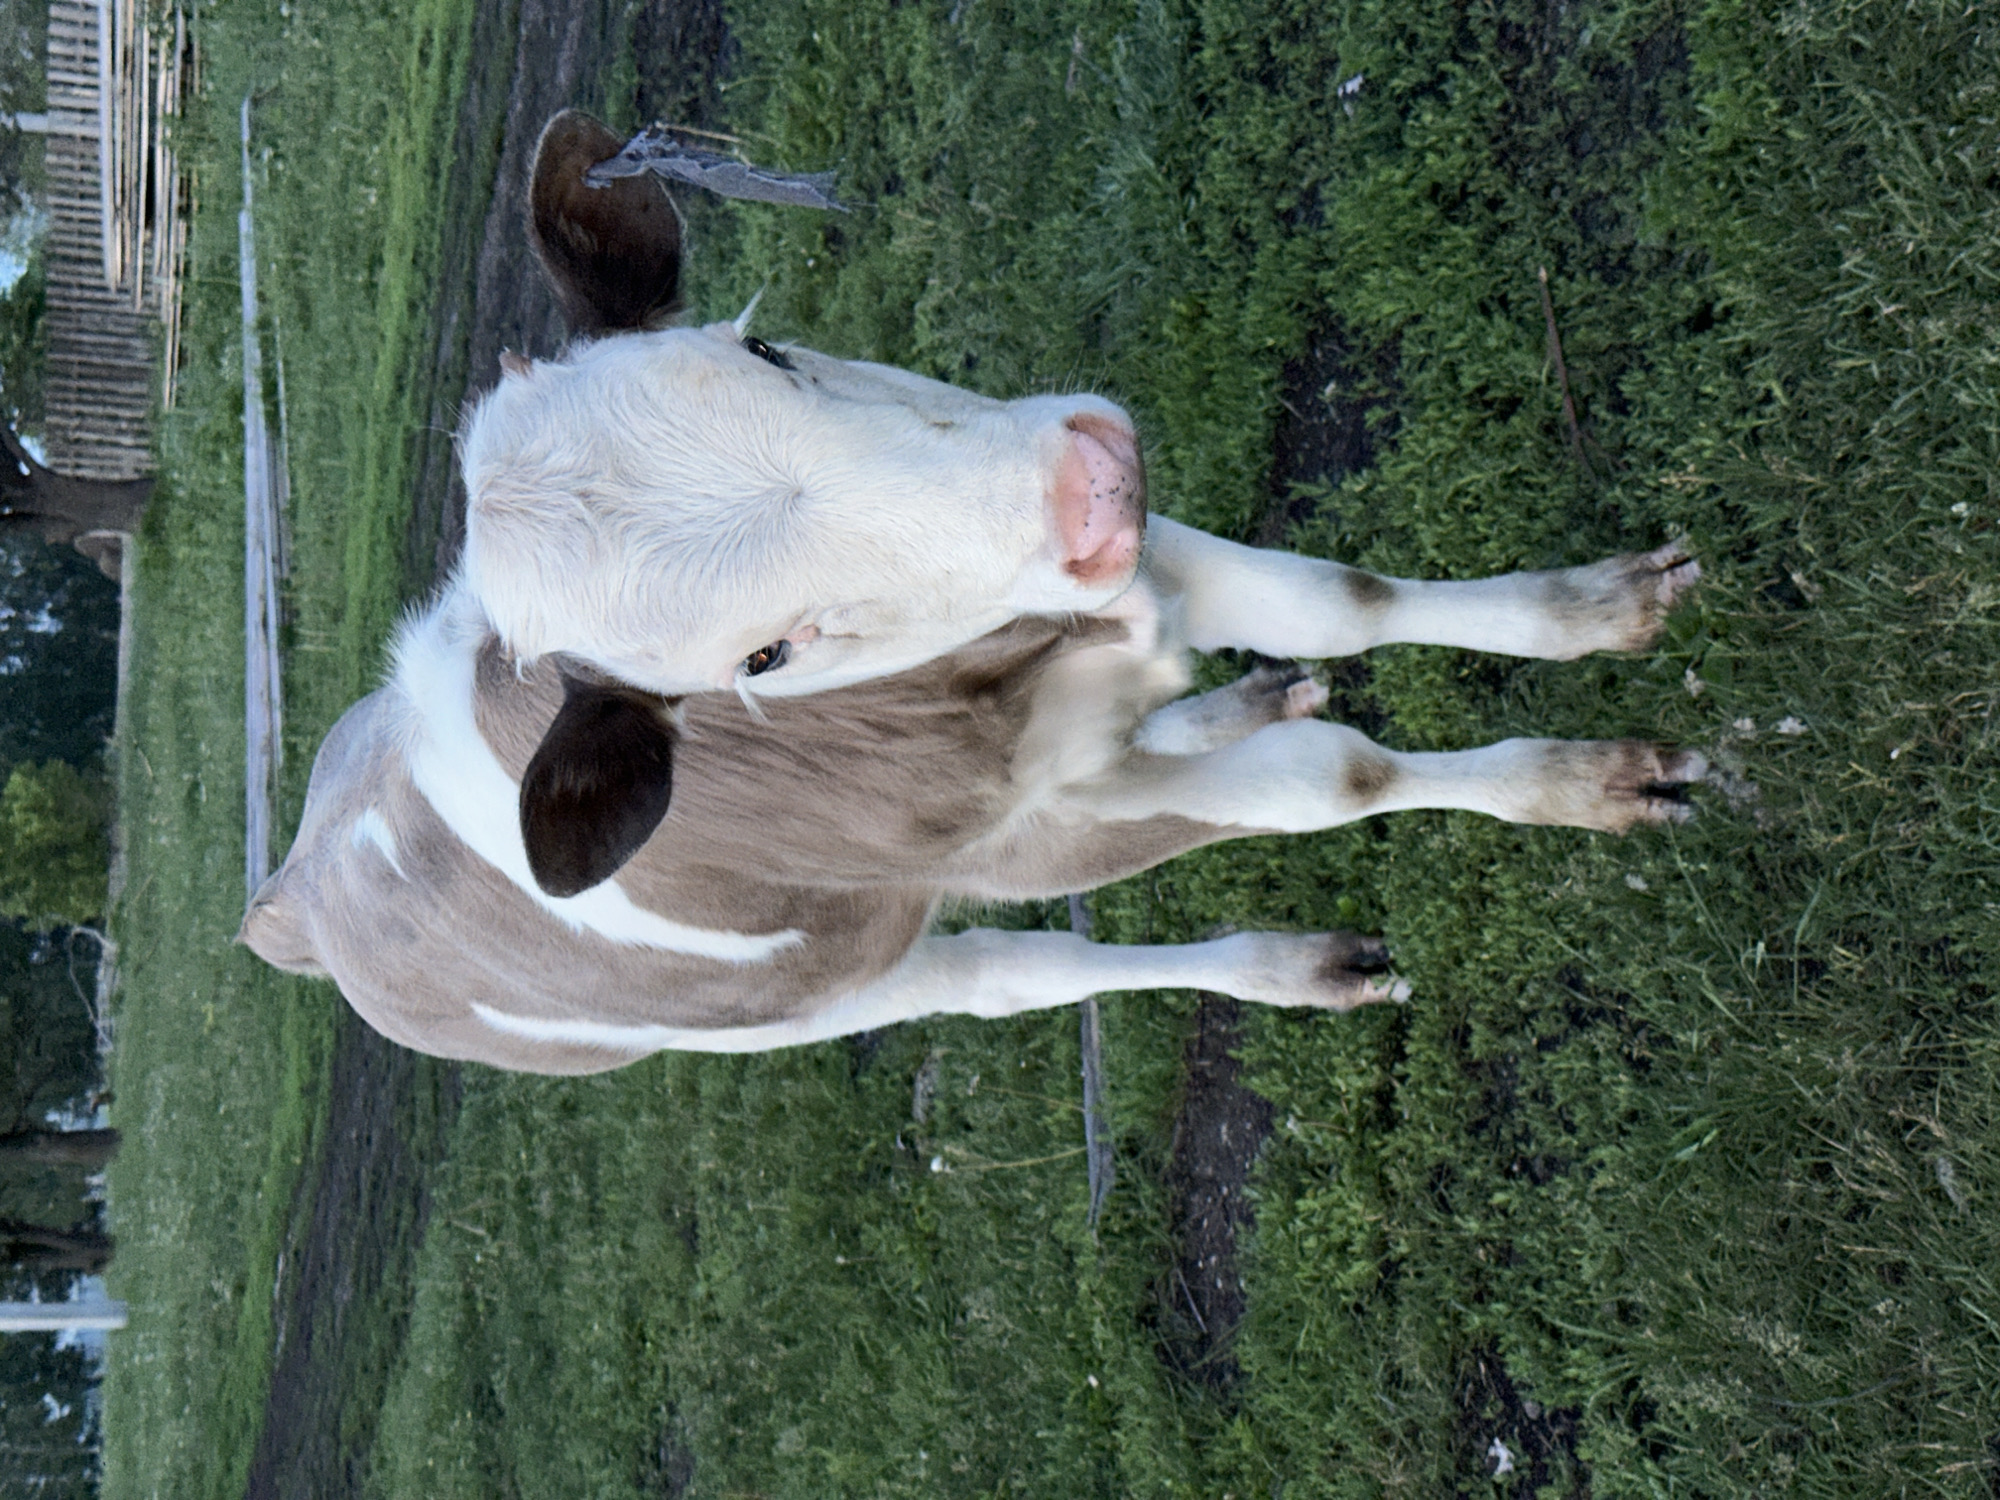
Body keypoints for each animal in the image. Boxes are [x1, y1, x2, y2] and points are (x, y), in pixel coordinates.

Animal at [239, 112, 1704, 1074]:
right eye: (763, 657)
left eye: (768, 351)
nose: (1087, 486)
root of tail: (287, 899)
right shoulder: (1018, 831)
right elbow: (1335, 780)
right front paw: (1591, 783)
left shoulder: (1136, 567)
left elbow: (1342, 598)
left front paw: (1591, 610)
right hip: (814, 993)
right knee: (1016, 976)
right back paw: (1294, 961)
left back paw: (1239, 704)